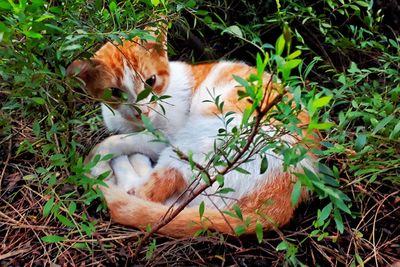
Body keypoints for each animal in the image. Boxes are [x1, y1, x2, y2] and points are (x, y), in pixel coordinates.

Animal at [67, 23, 320, 239]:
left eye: (151, 81)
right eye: (115, 93)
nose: (142, 110)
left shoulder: (165, 135)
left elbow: (112, 141)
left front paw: (100, 160)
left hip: (199, 139)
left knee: (146, 192)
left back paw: (125, 166)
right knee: (175, 204)